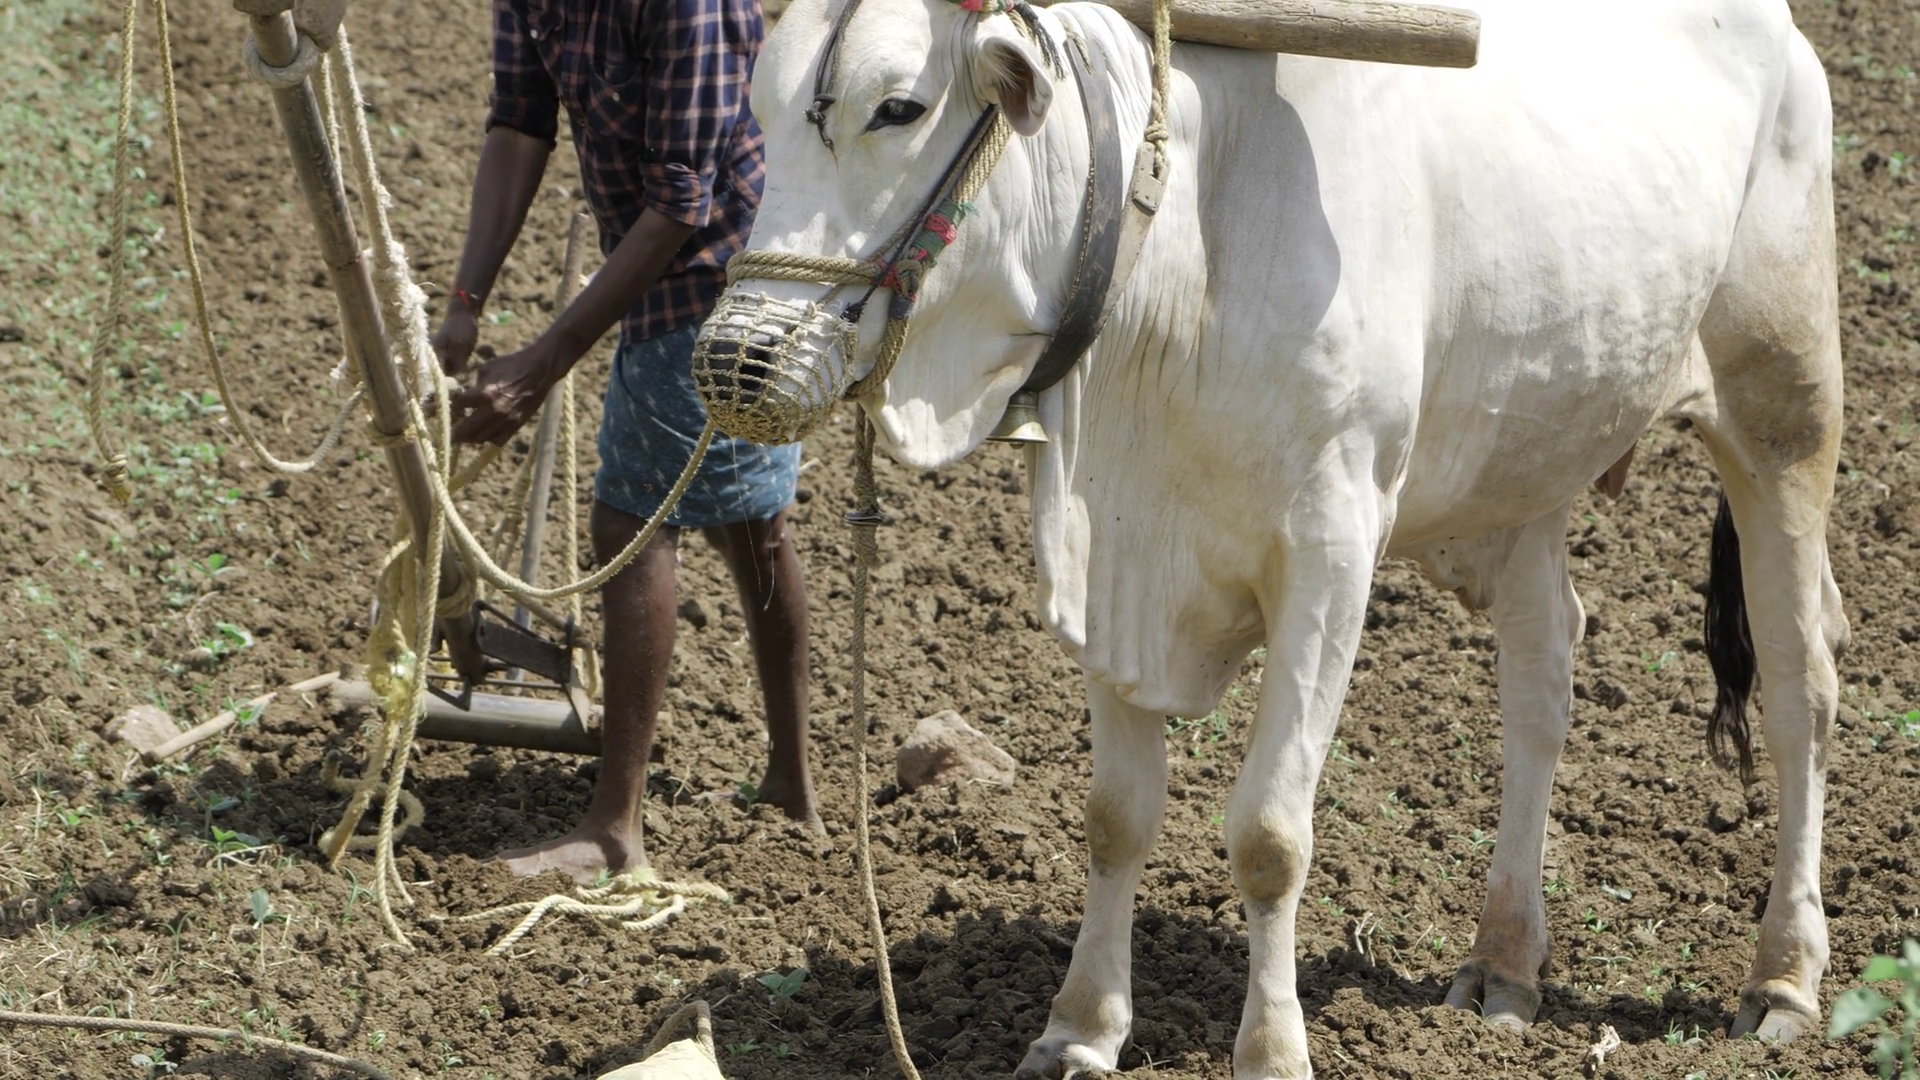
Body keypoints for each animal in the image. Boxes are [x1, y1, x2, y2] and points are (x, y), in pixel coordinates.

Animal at [697, 0, 1848, 1075]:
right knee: (1542, 682)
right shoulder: (1110, 559)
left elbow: (1268, 835)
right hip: (1527, 467)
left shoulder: (1328, 558)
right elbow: (1116, 813)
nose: (739, 358)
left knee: (1801, 687)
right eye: (758, 108)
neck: (1186, 239)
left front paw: (1271, 1049)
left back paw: (1783, 978)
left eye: (899, 107)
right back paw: (1504, 960)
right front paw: (1080, 1028)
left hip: (1783, 413)